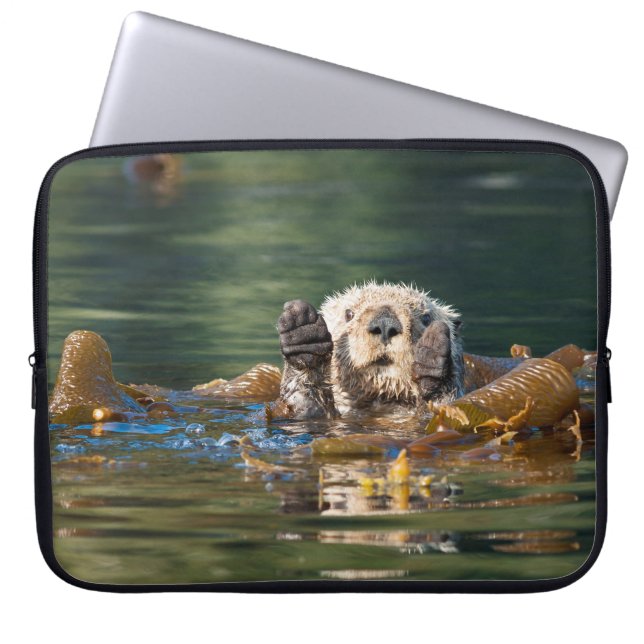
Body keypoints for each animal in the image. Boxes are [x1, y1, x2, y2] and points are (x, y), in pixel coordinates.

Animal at [277, 281, 464, 419]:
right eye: (349, 314)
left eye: (426, 318)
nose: (385, 323)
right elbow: (304, 404)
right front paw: (303, 333)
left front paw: (431, 359)